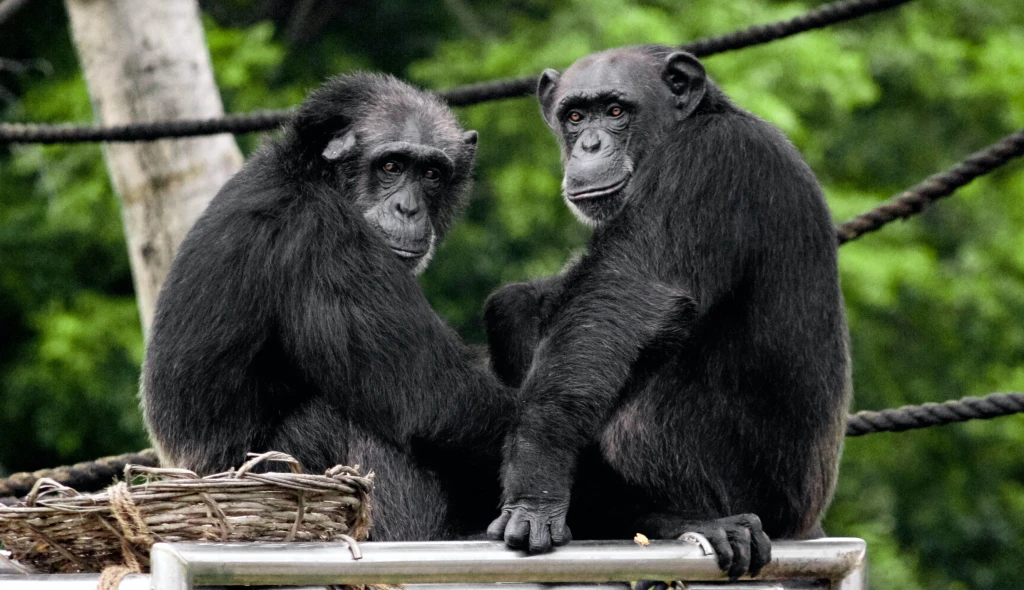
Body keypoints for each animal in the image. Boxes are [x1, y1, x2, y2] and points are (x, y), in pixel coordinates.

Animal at [142, 72, 512, 540]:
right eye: (391, 166)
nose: (408, 207)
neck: (314, 176)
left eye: (431, 173)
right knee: (348, 417)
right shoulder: (325, 240)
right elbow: (435, 396)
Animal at [483, 47, 851, 581]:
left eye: (616, 110)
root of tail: (806, 524)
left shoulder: (708, 163)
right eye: (575, 116)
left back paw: (682, 519)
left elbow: (626, 297)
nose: (590, 144)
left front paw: (536, 482)